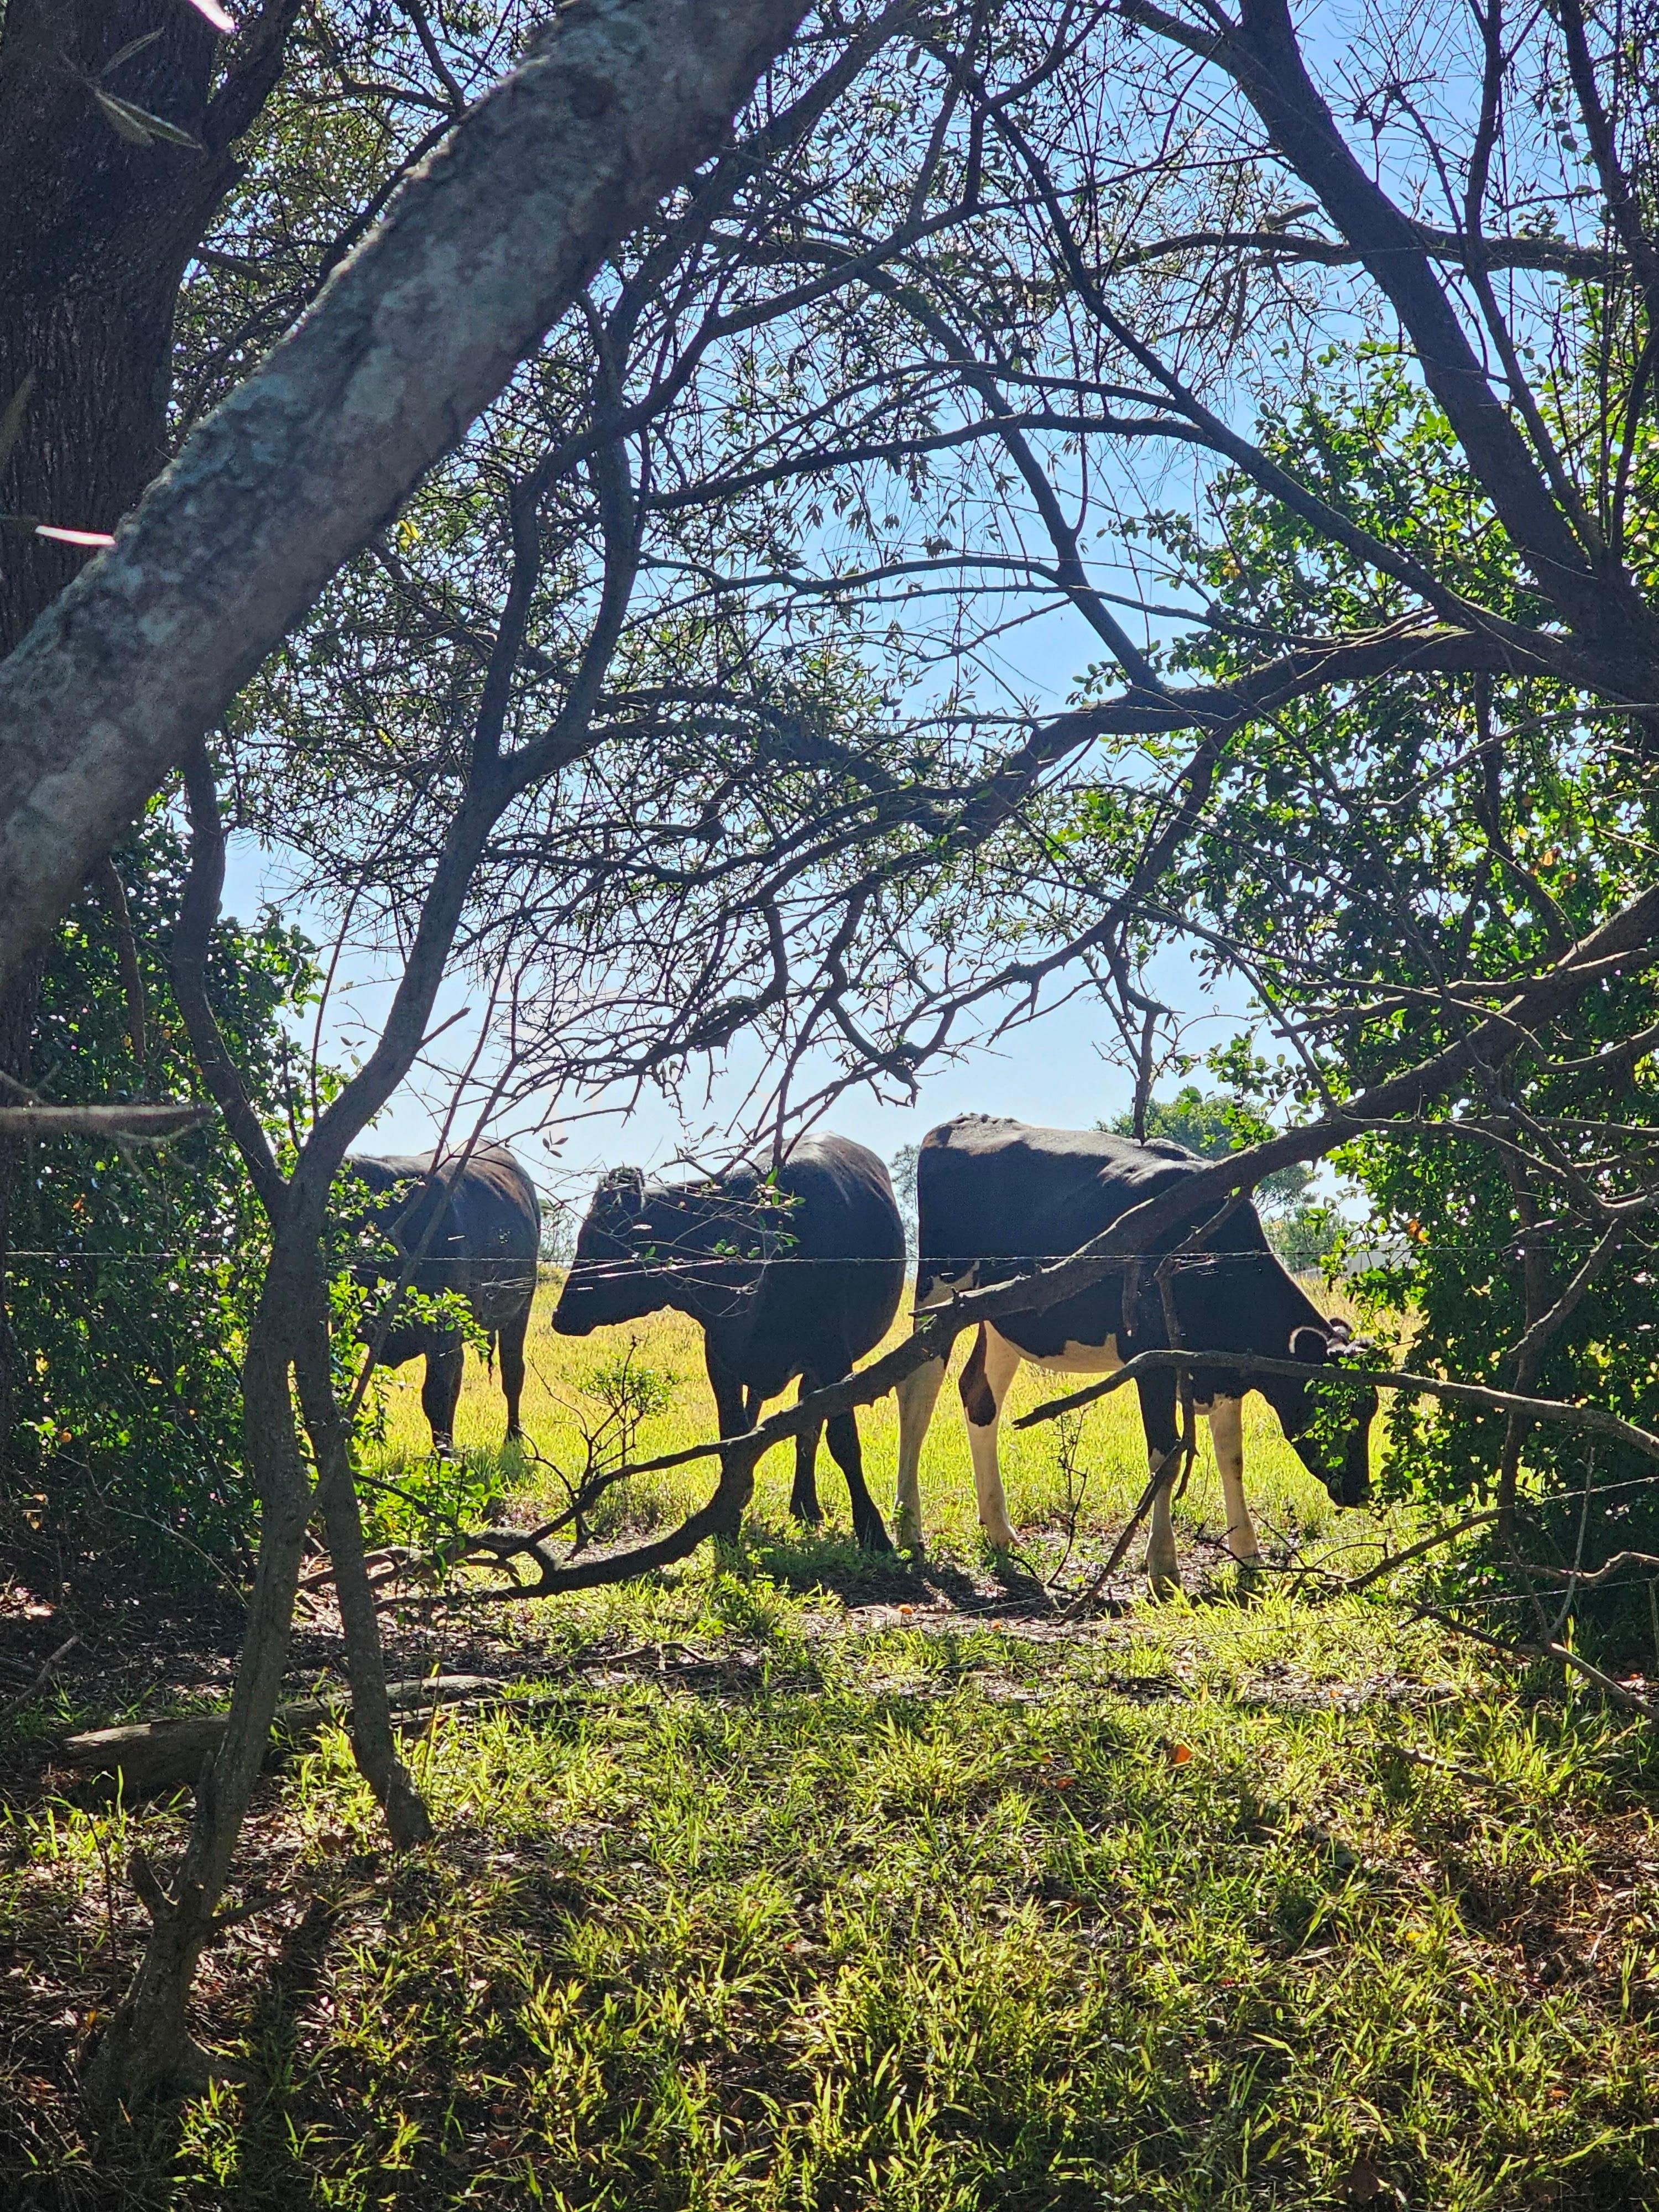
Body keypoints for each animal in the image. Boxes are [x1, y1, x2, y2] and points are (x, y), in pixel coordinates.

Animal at [347, 1143, 540, 1451]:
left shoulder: (441, 1331)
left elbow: (436, 1396)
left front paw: (444, 1458)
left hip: (520, 1308)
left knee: (512, 1372)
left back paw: (513, 1434)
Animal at [552, 1134, 906, 1550]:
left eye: (600, 1242)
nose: (560, 1316)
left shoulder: (832, 1355)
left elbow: (844, 1440)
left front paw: (872, 1530)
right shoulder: (720, 1356)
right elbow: (733, 1436)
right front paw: (728, 1520)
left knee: (809, 1426)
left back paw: (805, 1504)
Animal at [892, 1115, 1376, 1586]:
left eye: (1368, 1409)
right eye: (1328, 1410)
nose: (1360, 1491)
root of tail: (963, 1122)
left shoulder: (1224, 1367)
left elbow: (1232, 1458)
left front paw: (1249, 1559)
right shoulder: (1153, 1363)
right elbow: (1165, 1457)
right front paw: (1163, 1567)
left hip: (1003, 1313)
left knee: (979, 1397)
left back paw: (1000, 1532)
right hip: (940, 1289)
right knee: (916, 1393)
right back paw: (909, 1530)